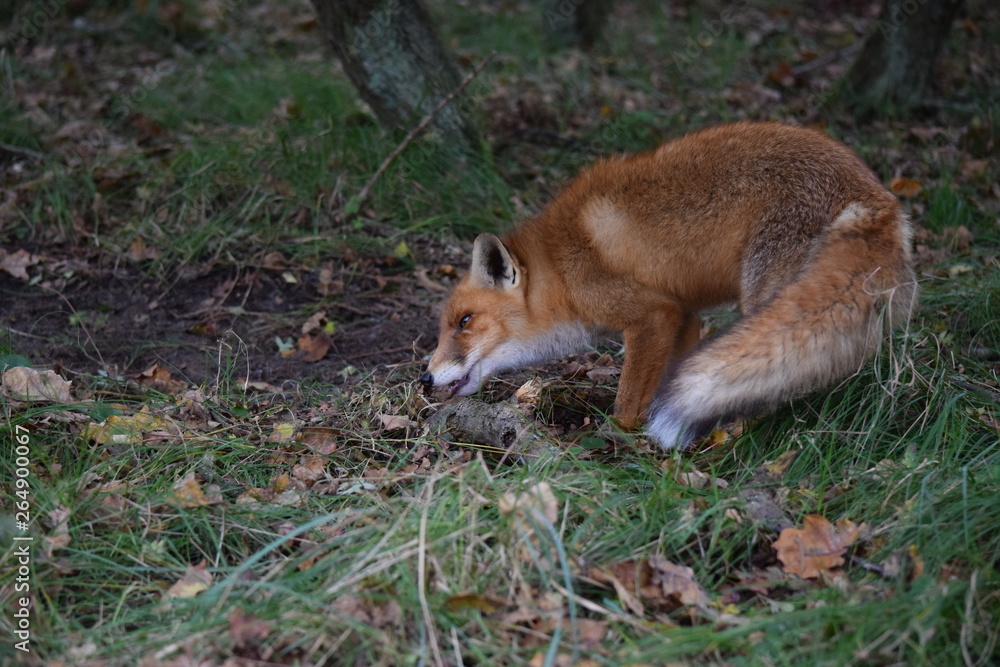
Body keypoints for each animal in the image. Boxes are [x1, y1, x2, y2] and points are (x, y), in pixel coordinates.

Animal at [420, 121, 917, 449]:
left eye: (465, 322)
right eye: (445, 326)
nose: (424, 378)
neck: (560, 269)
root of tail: (873, 194)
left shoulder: (652, 316)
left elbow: (626, 405)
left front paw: (617, 444)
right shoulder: (685, 315)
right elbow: (669, 384)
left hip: (765, 298)